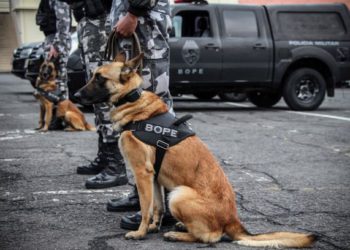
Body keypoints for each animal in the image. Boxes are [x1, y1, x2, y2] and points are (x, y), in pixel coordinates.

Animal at [75, 53, 316, 248]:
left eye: (99, 78)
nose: (75, 96)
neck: (134, 103)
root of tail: (233, 222)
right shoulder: (154, 176)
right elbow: (157, 207)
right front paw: (153, 227)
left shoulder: (142, 173)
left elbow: (145, 208)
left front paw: (140, 232)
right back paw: (181, 227)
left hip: (179, 195)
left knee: (212, 237)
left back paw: (178, 235)